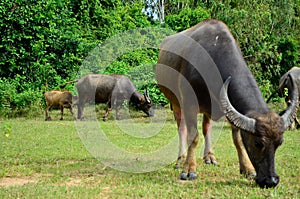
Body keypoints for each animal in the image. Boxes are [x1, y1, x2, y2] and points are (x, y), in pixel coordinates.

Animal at [156, 18, 298, 188]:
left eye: (279, 143)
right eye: (258, 143)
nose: (271, 180)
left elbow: (238, 140)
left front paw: (248, 169)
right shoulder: (190, 103)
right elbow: (193, 136)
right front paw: (189, 169)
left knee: (206, 127)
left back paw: (209, 157)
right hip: (175, 102)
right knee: (182, 129)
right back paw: (180, 159)